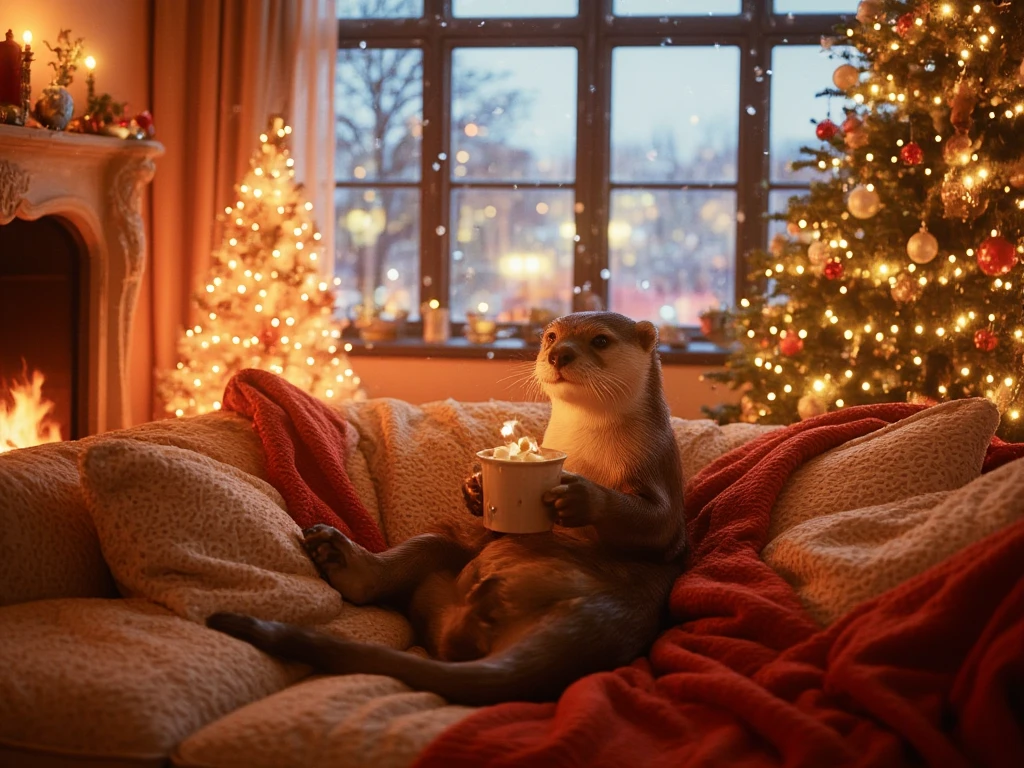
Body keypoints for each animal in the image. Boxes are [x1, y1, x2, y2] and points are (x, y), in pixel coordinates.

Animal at [207, 309, 688, 708]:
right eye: (551, 337)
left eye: (601, 340)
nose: (560, 354)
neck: (585, 449)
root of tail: (601, 616)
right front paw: (475, 487)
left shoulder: (661, 473)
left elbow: (654, 523)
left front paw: (578, 496)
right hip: (448, 561)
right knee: (417, 557)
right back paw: (343, 560)